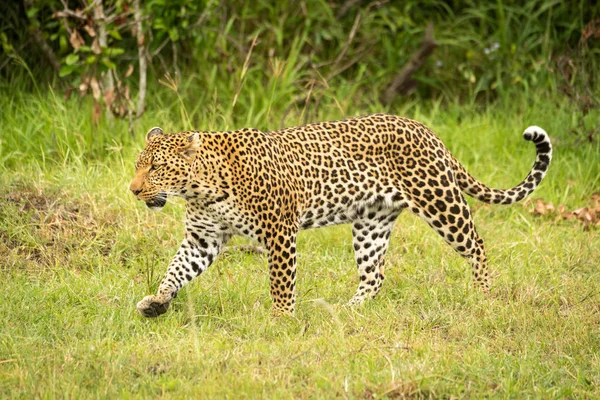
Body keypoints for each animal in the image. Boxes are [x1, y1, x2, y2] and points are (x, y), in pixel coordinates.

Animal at [131, 111, 552, 316]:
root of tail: (427, 131)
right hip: (371, 223)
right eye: (139, 166)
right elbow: (176, 269)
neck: (202, 188)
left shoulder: (279, 231)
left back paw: (484, 295)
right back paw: (348, 310)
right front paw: (157, 302)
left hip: (440, 201)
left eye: (156, 168)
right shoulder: (204, 239)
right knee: (375, 275)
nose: (133, 190)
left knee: (477, 244)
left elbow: (280, 282)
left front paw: (280, 319)